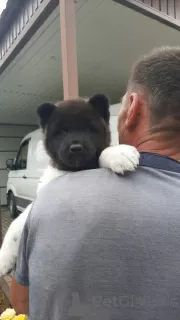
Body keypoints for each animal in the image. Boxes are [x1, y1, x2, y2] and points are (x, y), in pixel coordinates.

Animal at [0, 94, 140, 276]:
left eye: (89, 129)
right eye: (62, 132)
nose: (75, 147)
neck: (73, 171)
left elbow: (101, 153)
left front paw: (119, 153)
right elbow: (16, 225)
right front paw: (4, 259)